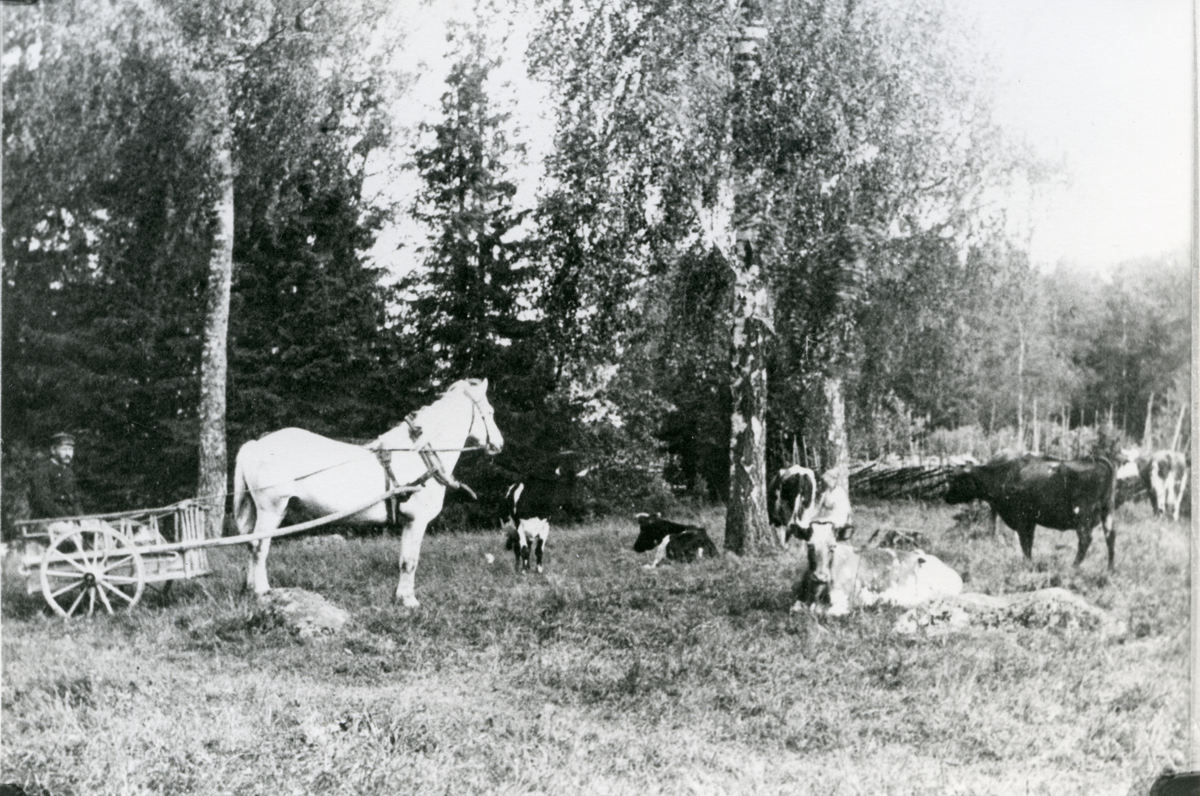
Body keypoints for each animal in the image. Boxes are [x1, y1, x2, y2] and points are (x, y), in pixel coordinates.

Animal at [232, 378, 503, 606]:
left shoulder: (408, 522)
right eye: (490, 412)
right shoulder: (417, 521)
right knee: (259, 546)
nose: (499, 444)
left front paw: (400, 597)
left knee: (251, 545)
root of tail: (255, 444)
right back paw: (262, 591)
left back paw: (250, 589)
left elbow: (403, 560)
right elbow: (410, 562)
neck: (419, 454)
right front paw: (409, 601)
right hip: (271, 509)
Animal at [791, 521, 963, 617]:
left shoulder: (843, 604)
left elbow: (823, 612)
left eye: (833, 546)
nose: (820, 576)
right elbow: (796, 608)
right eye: (810, 546)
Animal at [944, 454, 1117, 569]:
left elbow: (1025, 544)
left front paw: (1027, 566)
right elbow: (1029, 542)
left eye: (956, 479)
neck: (1004, 476)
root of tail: (1097, 460)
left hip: (1082, 515)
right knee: (1110, 537)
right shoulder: (1031, 521)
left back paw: (1073, 568)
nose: (945, 496)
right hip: (1107, 511)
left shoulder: (1021, 519)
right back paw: (1110, 570)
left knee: (1085, 540)